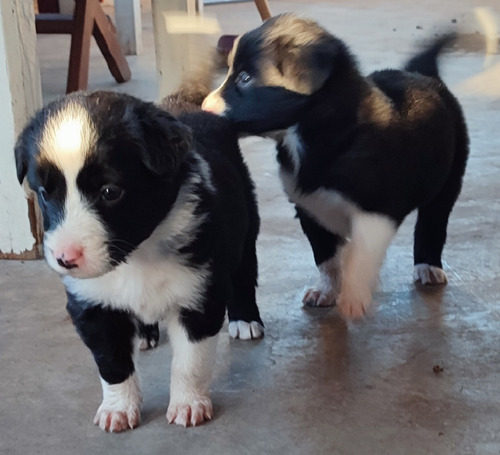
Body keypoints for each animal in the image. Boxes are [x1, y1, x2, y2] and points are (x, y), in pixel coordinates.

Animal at [15, 87, 264, 432]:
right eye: (44, 193)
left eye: (110, 192)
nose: (65, 259)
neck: (136, 256)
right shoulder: (92, 306)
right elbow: (112, 364)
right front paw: (118, 409)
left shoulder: (199, 295)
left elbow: (190, 362)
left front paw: (189, 405)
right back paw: (145, 333)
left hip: (246, 221)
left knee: (244, 273)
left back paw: (246, 320)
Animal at [202, 14, 468, 320]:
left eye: (245, 79)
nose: (204, 107)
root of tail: (423, 75)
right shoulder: (310, 209)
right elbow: (327, 258)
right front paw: (327, 291)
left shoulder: (376, 210)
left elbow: (361, 256)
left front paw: (352, 296)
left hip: (449, 178)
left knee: (433, 222)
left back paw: (428, 266)